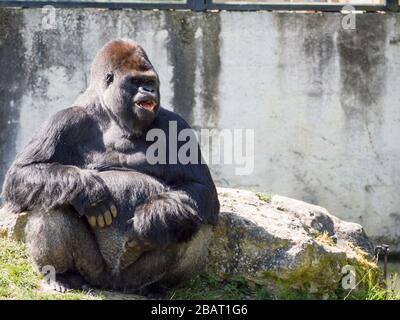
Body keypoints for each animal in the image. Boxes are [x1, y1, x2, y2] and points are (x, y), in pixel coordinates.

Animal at [0, 38, 219, 294]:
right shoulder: (64, 119)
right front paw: (90, 192)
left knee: (194, 217)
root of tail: (113, 284)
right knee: (52, 199)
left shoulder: (176, 124)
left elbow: (199, 187)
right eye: (136, 81)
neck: (112, 115)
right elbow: (24, 172)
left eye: (151, 82)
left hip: (134, 277)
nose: (150, 91)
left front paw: (152, 218)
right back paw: (62, 274)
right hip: (93, 269)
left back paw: (158, 285)